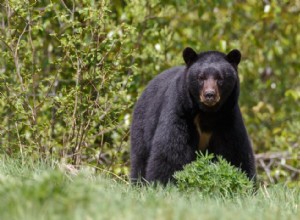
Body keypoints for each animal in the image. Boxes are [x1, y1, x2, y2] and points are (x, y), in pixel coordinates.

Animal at [130, 47, 256, 185]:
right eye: (201, 77)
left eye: (220, 78)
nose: (209, 95)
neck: (207, 113)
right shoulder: (180, 111)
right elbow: (171, 150)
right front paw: (162, 183)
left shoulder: (228, 117)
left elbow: (235, 151)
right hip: (143, 122)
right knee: (140, 157)